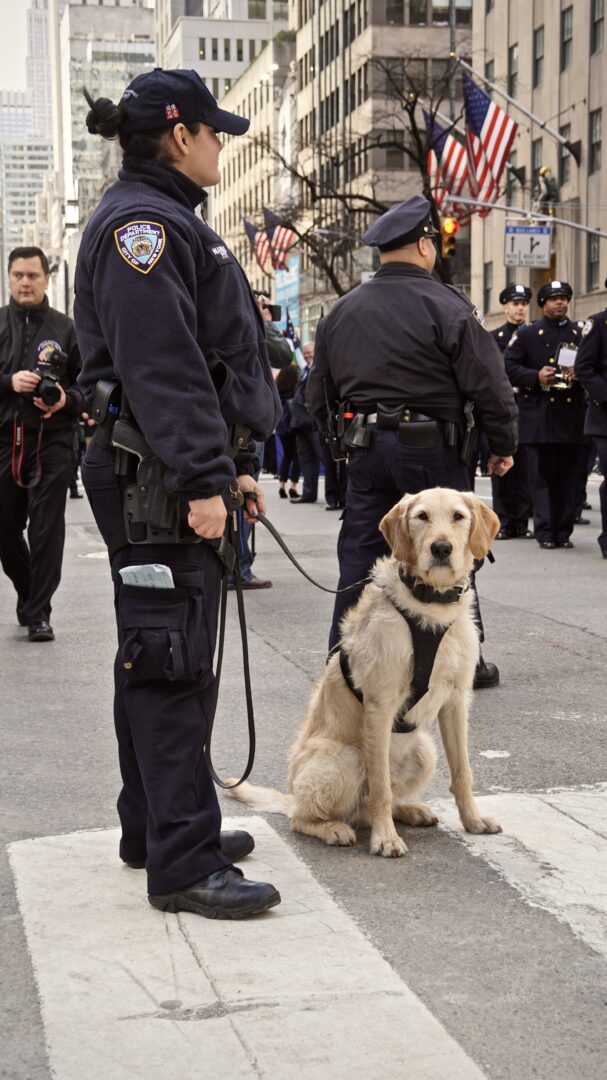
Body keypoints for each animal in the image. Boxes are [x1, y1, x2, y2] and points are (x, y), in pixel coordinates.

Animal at [226, 490, 501, 859]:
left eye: (458, 516)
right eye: (422, 517)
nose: (441, 548)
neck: (430, 605)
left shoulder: (456, 701)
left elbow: (462, 771)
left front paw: (472, 819)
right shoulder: (380, 705)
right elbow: (380, 788)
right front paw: (385, 839)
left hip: (424, 751)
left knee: (376, 805)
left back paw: (409, 810)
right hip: (345, 758)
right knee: (307, 816)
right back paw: (333, 828)